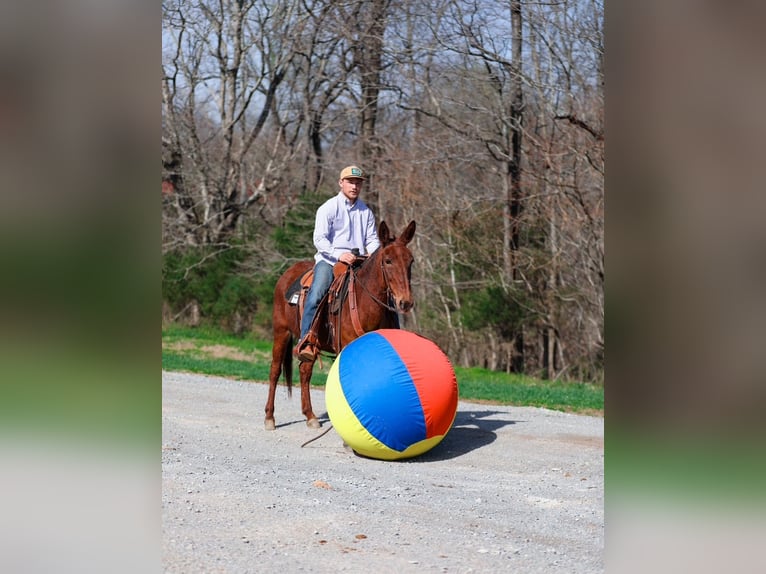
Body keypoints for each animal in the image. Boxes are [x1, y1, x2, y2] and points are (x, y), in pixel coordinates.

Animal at [265, 220, 416, 430]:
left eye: (411, 261)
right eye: (388, 260)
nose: (405, 302)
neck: (363, 302)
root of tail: (286, 275)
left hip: (310, 345)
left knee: (305, 371)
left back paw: (310, 416)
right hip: (282, 332)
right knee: (275, 370)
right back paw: (270, 418)